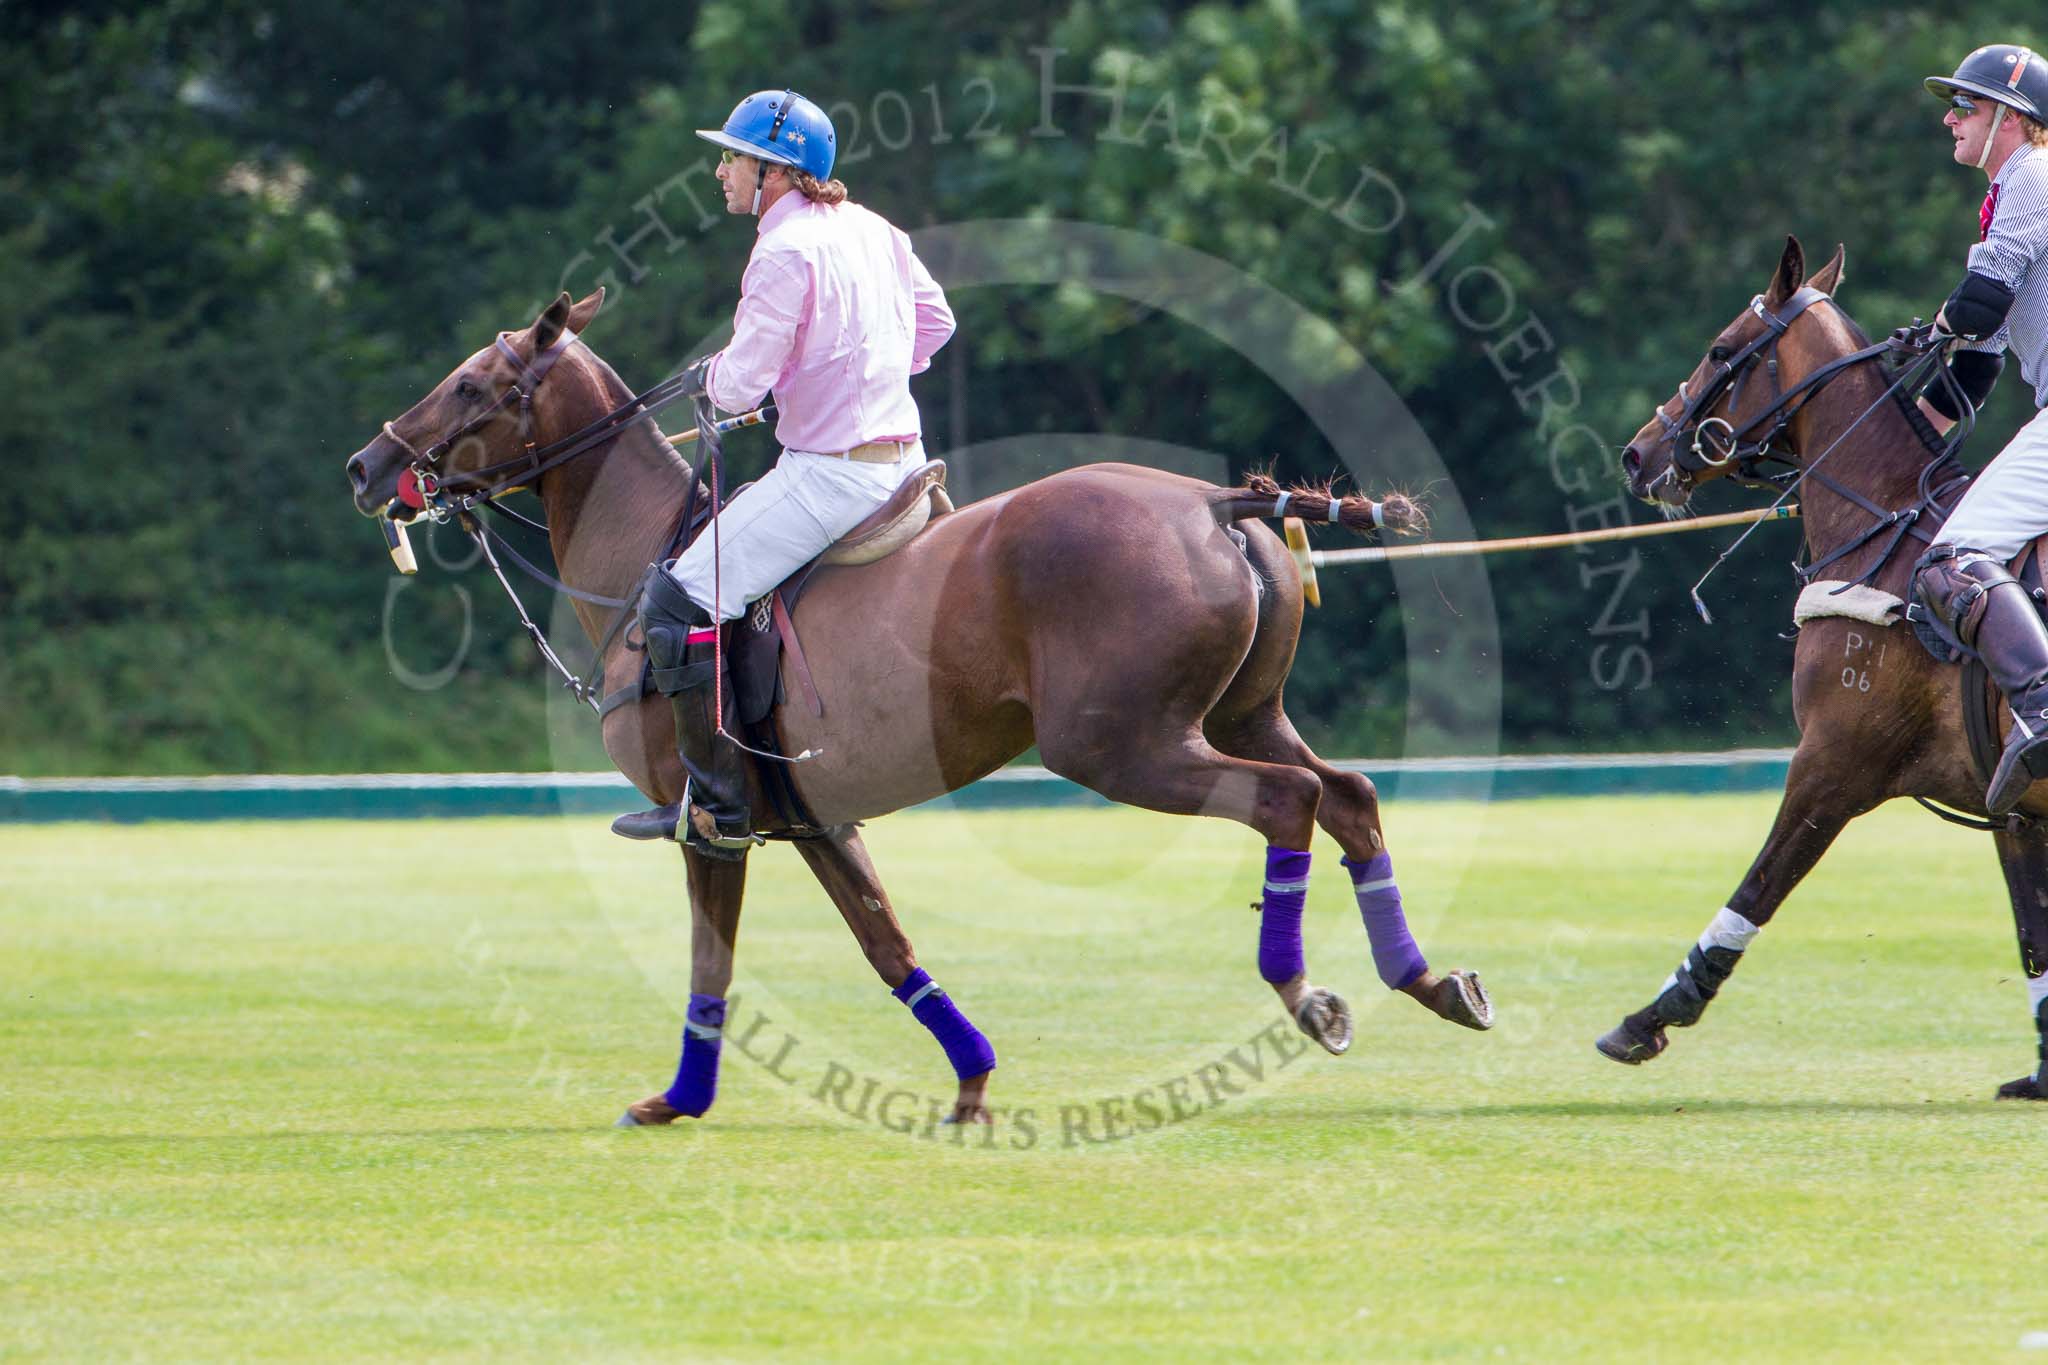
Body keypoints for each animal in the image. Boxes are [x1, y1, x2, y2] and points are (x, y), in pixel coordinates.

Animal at [344, 288, 1499, 1129]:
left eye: (473, 383)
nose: (367, 464)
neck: (641, 557)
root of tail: (1218, 502)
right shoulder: (811, 815)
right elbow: (885, 943)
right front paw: (974, 1081)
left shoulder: (710, 818)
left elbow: (712, 958)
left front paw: (675, 1101)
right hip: (1239, 710)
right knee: (1347, 793)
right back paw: (1430, 981)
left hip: (1119, 743)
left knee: (1284, 803)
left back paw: (1308, 995)